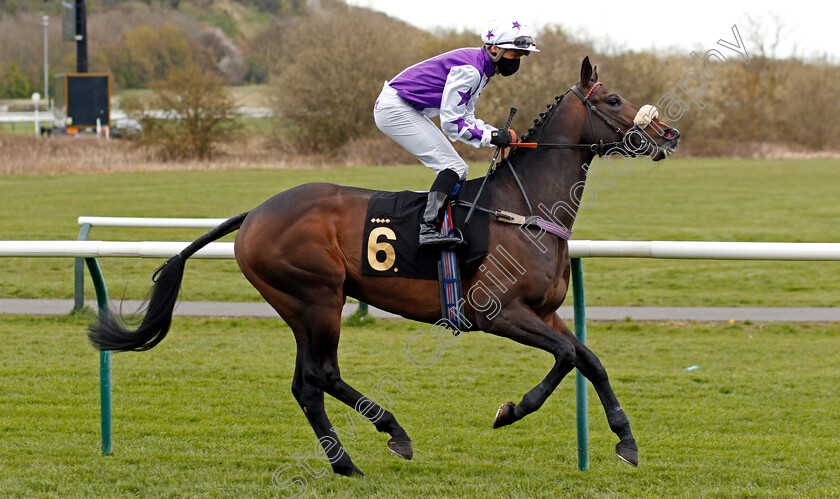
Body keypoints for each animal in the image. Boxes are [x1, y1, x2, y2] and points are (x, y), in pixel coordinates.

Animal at [92, 57, 684, 476]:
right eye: (613, 98)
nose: (668, 135)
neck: (523, 205)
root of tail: (255, 213)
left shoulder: (543, 311)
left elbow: (588, 358)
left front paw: (626, 441)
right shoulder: (496, 313)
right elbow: (564, 357)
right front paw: (512, 409)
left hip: (301, 307)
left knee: (306, 384)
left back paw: (345, 464)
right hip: (317, 297)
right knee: (322, 374)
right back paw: (392, 432)